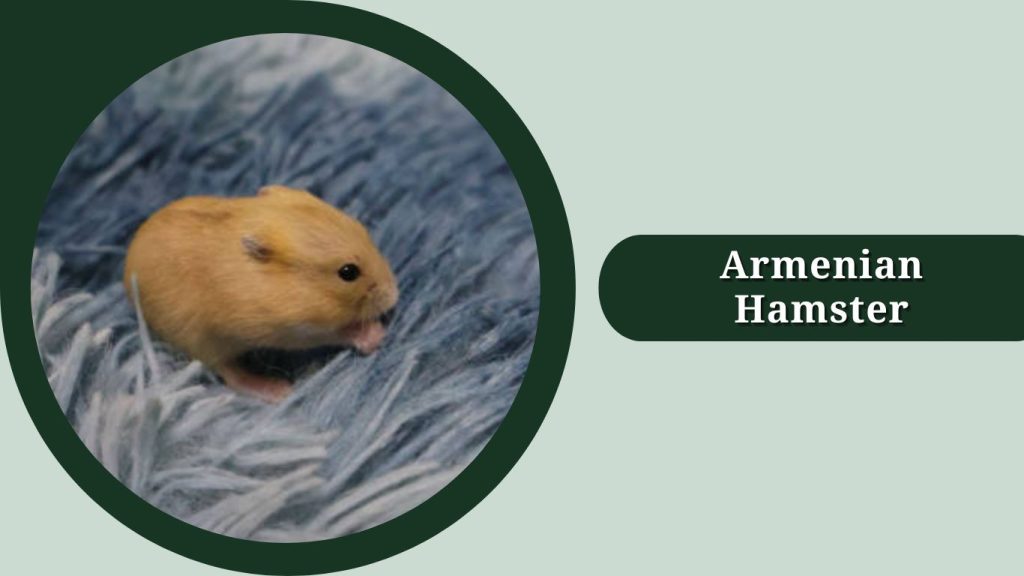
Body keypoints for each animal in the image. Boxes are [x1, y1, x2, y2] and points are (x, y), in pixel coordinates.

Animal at [123, 185, 399, 402]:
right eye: (348, 272)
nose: (395, 295)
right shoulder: (295, 329)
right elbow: (338, 331)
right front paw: (375, 334)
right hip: (203, 342)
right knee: (231, 374)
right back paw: (277, 390)